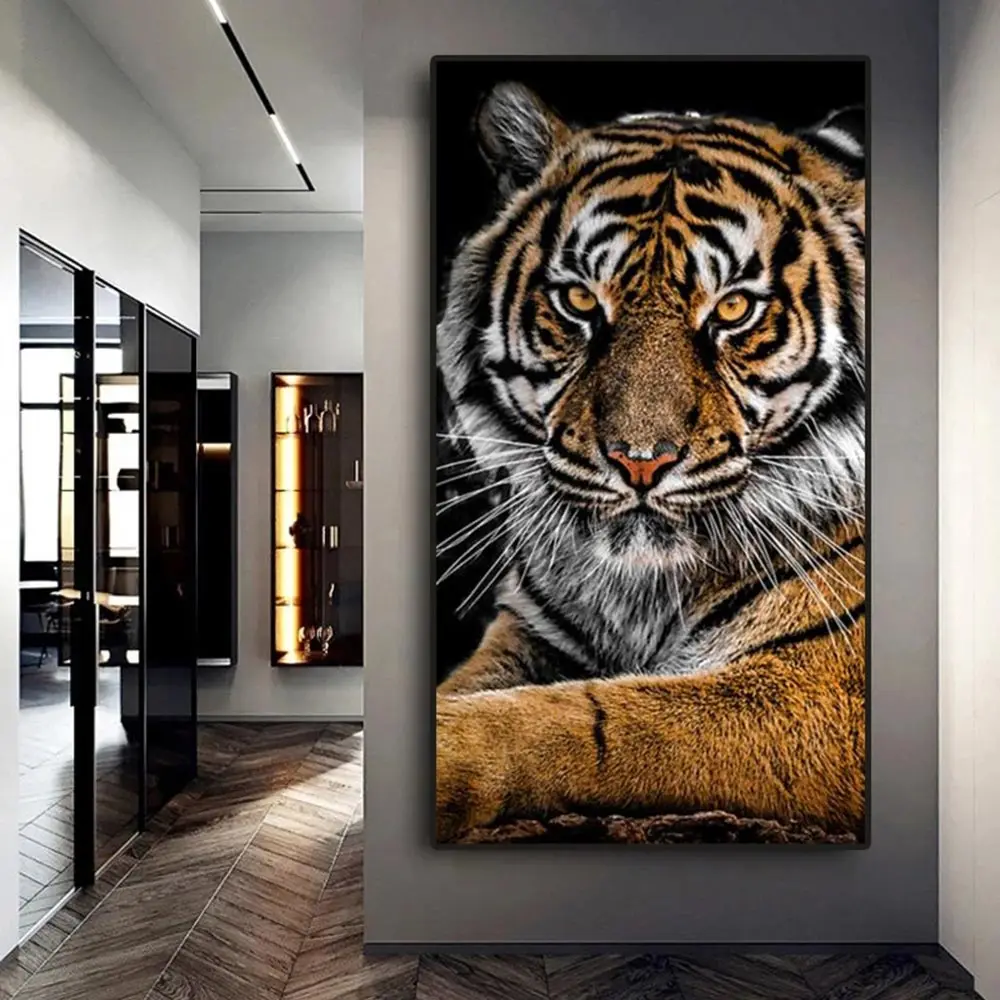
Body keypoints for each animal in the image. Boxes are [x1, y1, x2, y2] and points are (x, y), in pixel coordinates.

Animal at [435, 81, 866, 844]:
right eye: (579, 300)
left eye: (734, 308)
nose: (639, 462)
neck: (640, 592)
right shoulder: (529, 633)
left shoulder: (819, 687)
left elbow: (583, 721)